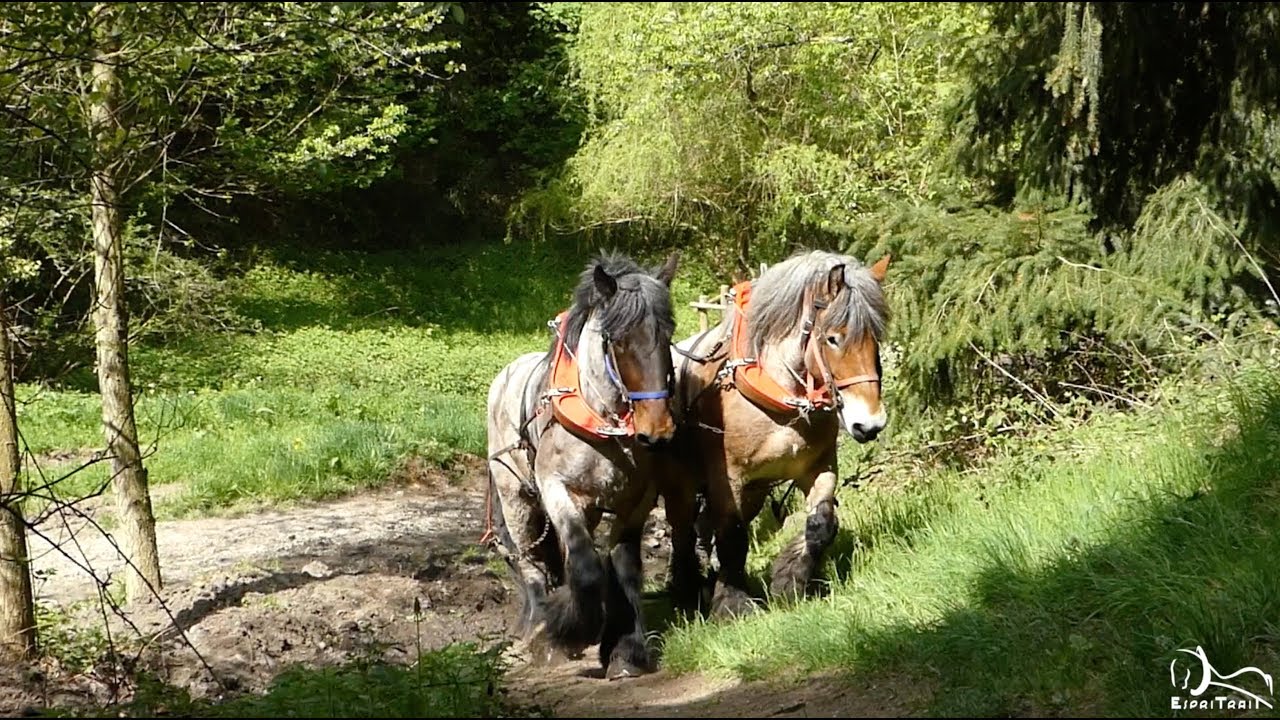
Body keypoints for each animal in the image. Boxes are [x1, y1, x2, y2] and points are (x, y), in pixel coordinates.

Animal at [483, 250, 681, 679]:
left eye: (668, 335)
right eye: (618, 340)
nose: (657, 430)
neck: (603, 419)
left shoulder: (636, 500)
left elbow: (624, 566)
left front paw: (626, 651)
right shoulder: (557, 489)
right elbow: (587, 566)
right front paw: (571, 630)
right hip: (516, 499)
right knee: (533, 565)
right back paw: (541, 626)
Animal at [656, 249, 891, 618]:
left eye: (875, 338)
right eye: (833, 338)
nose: (870, 424)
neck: (781, 397)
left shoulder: (820, 467)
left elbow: (822, 523)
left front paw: (790, 582)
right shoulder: (729, 479)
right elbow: (732, 538)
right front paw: (733, 603)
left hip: (754, 491)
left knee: (703, 527)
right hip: (681, 483)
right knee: (683, 532)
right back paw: (686, 591)